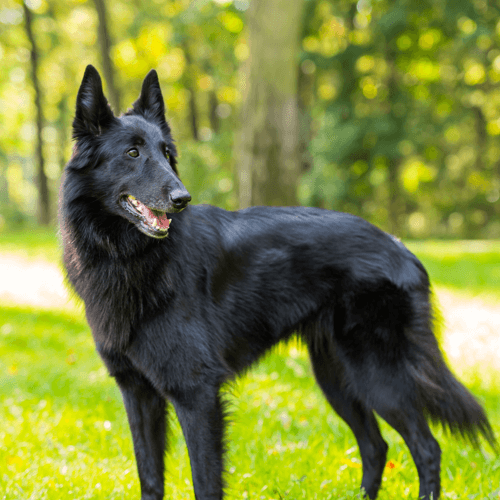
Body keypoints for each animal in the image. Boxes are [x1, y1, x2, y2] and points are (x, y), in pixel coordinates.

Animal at [60, 64, 494, 498]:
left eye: (167, 153)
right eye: (132, 153)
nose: (183, 199)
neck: (127, 257)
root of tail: (401, 247)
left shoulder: (196, 394)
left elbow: (205, 481)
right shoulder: (138, 392)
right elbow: (150, 479)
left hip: (376, 375)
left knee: (426, 447)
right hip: (337, 378)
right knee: (376, 446)